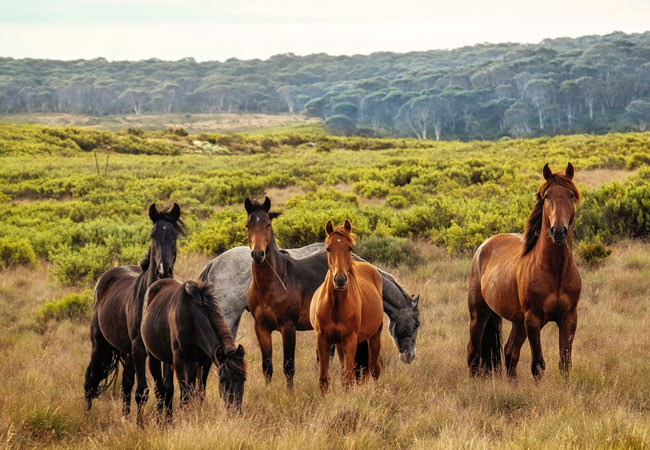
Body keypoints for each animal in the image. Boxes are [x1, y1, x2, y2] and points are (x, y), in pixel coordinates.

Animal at [142, 280, 246, 416]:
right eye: (222, 380)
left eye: (243, 379)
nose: (235, 411)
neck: (191, 316)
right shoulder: (179, 359)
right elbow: (185, 394)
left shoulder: (205, 360)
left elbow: (199, 392)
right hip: (153, 357)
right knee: (159, 389)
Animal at [310, 221, 382, 390]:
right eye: (328, 248)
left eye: (350, 248)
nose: (340, 280)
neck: (336, 306)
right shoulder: (323, 339)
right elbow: (324, 379)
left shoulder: (350, 340)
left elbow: (349, 378)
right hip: (339, 343)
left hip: (374, 337)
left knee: (374, 369)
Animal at [466, 163, 584, 380]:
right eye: (547, 196)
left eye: (570, 195)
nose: (558, 231)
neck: (555, 271)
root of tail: (484, 246)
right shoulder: (533, 320)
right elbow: (538, 365)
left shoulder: (569, 319)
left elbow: (565, 363)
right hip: (479, 314)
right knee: (473, 352)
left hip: (518, 322)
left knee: (509, 352)